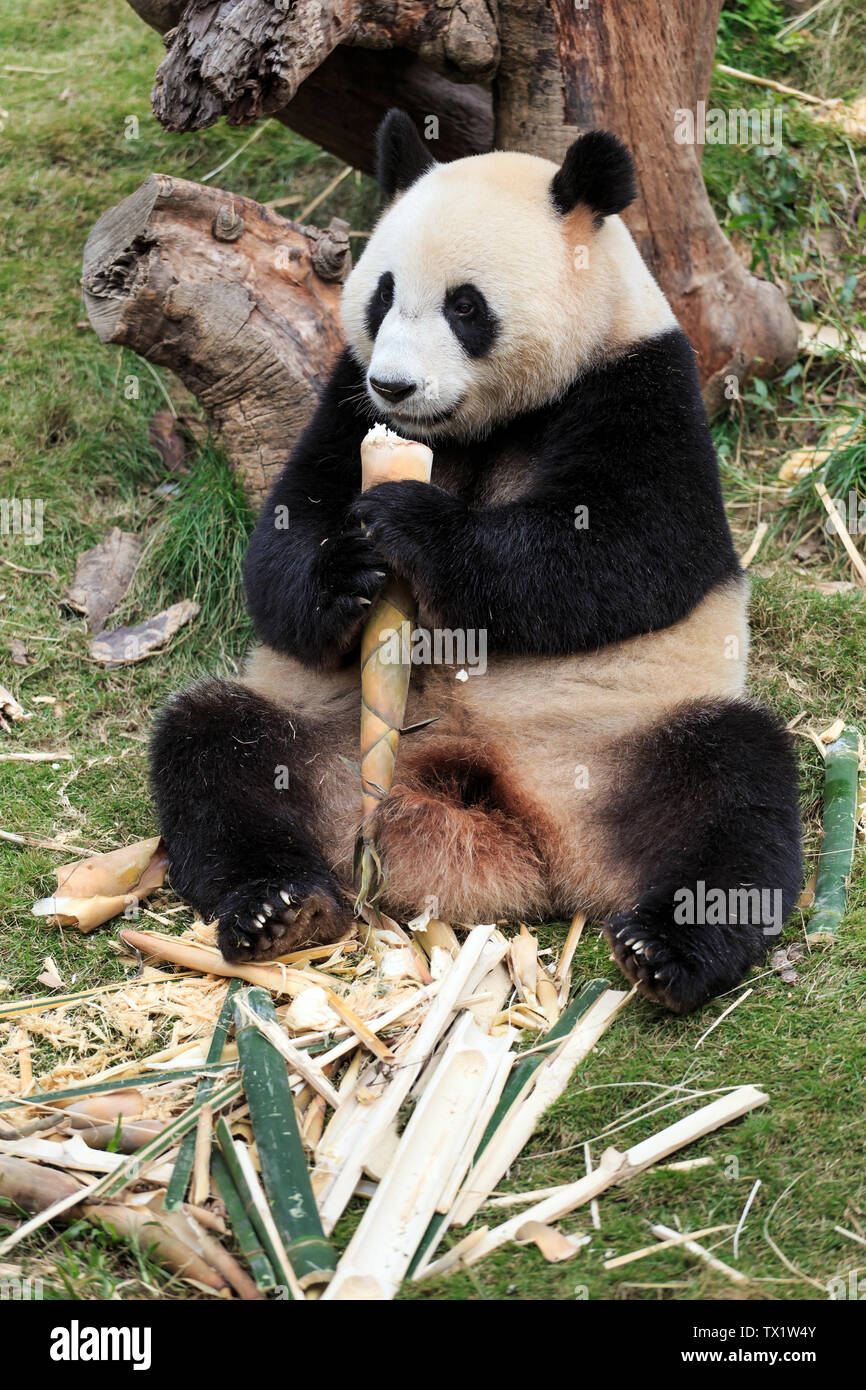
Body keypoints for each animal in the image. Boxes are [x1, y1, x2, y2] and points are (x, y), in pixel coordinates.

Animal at [150, 111, 803, 1014]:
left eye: (466, 306)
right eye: (382, 293)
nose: (395, 387)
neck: (476, 425)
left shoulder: (641, 381)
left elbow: (632, 551)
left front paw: (408, 526)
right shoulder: (343, 395)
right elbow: (281, 544)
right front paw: (348, 572)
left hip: (616, 745)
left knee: (735, 785)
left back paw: (669, 949)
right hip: (325, 744)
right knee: (214, 745)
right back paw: (279, 907)